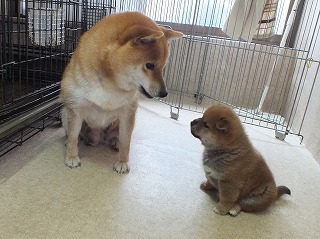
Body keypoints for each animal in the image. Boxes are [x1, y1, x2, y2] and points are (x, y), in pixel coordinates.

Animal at [59, 12, 182, 173]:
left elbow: (126, 141)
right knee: (73, 134)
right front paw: (72, 157)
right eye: (149, 65)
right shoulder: (76, 109)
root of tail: (96, 139)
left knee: (119, 138)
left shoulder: (127, 113)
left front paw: (123, 162)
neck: (111, 84)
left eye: (163, 67)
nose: (164, 93)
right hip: (64, 112)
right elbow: (73, 135)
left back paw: (115, 142)